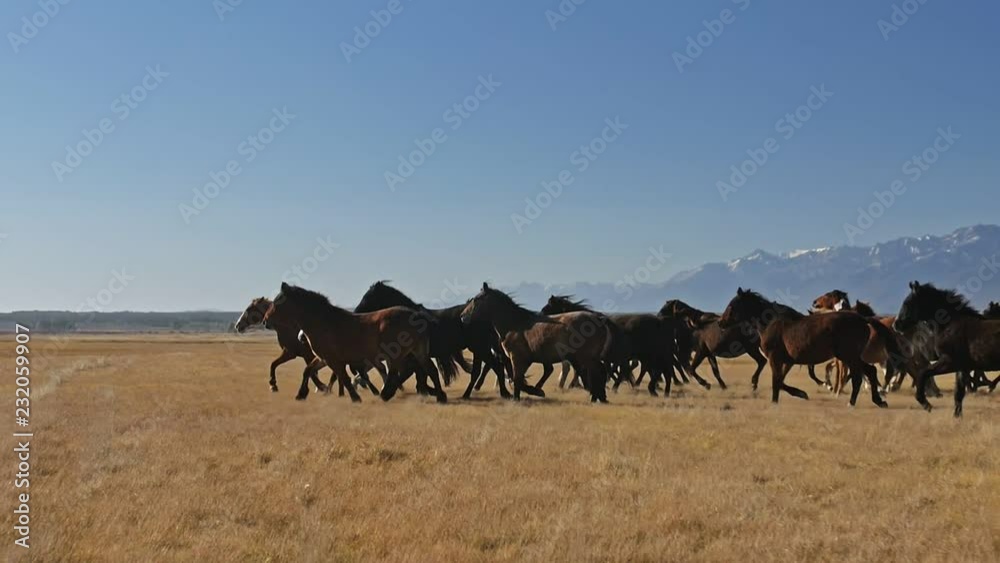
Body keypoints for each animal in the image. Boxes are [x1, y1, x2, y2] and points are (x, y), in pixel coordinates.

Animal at [263, 282, 447, 403]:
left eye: (277, 302)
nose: (265, 321)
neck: (323, 321)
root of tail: (417, 316)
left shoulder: (333, 359)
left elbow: (343, 377)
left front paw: (355, 397)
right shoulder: (323, 358)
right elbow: (308, 370)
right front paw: (301, 394)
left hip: (396, 354)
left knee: (399, 372)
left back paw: (386, 394)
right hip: (418, 351)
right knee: (430, 370)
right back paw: (440, 396)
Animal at [354, 281, 511, 399]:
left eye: (368, 297)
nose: (355, 313)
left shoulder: (414, 358)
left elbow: (417, 377)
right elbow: (419, 378)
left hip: (481, 348)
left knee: (496, 366)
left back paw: (504, 393)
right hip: (479, 349)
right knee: (481, 370)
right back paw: (470, 394)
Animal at [460, 283, 613, 402]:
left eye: (476, 299)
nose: (463, 317)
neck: (514, 324)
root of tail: (599, 320)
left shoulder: (517, 358)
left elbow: (517, 379)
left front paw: (521, 397)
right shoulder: (524, 360)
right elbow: (517, 379)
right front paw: (534, 391)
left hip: (586, 357)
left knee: (597, 372)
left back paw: (597, 397)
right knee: (599, 372)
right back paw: (599, 397)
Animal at [719, 288, 893, 408]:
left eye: (731, 306)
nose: (721, 323)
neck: (770, 323)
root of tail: (863, 319)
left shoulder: (775, 359)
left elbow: (777, 381)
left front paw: (779, 400)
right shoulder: (787, 361)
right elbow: (780, 380)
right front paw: (801, 393)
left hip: (848, 356)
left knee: (860, 376)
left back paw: (852, 402)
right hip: (852, 357)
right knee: (870, 371)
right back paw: (879, 401)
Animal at [893, 282, 1000, 416]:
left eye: (907, 303)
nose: (896, 325)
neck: (950, 326)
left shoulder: (949, 362)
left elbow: (923, 373)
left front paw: (926, 404)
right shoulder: (962, 367)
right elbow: (958, 394)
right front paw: (957, 417)